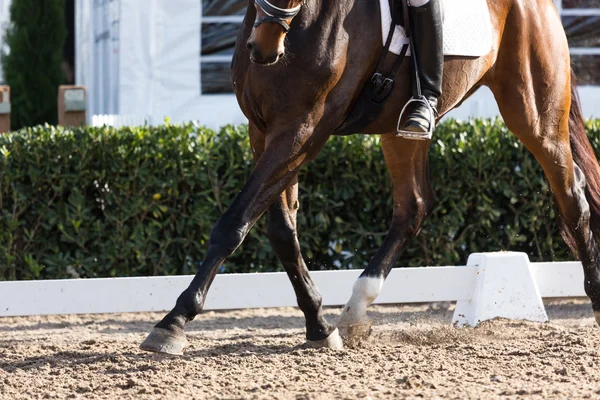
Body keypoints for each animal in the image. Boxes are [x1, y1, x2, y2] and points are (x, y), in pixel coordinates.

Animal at [138, 0, 600, 354]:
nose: (266, 47)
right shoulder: (264, 129)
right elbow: (281, 232)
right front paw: (318, 326)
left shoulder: (303, 128)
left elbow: (233, 224)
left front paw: (173, 322)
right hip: (401, 130)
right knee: (413, 206)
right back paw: (356, 309)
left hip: (535, 114)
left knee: (571, 196)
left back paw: (596, 299)